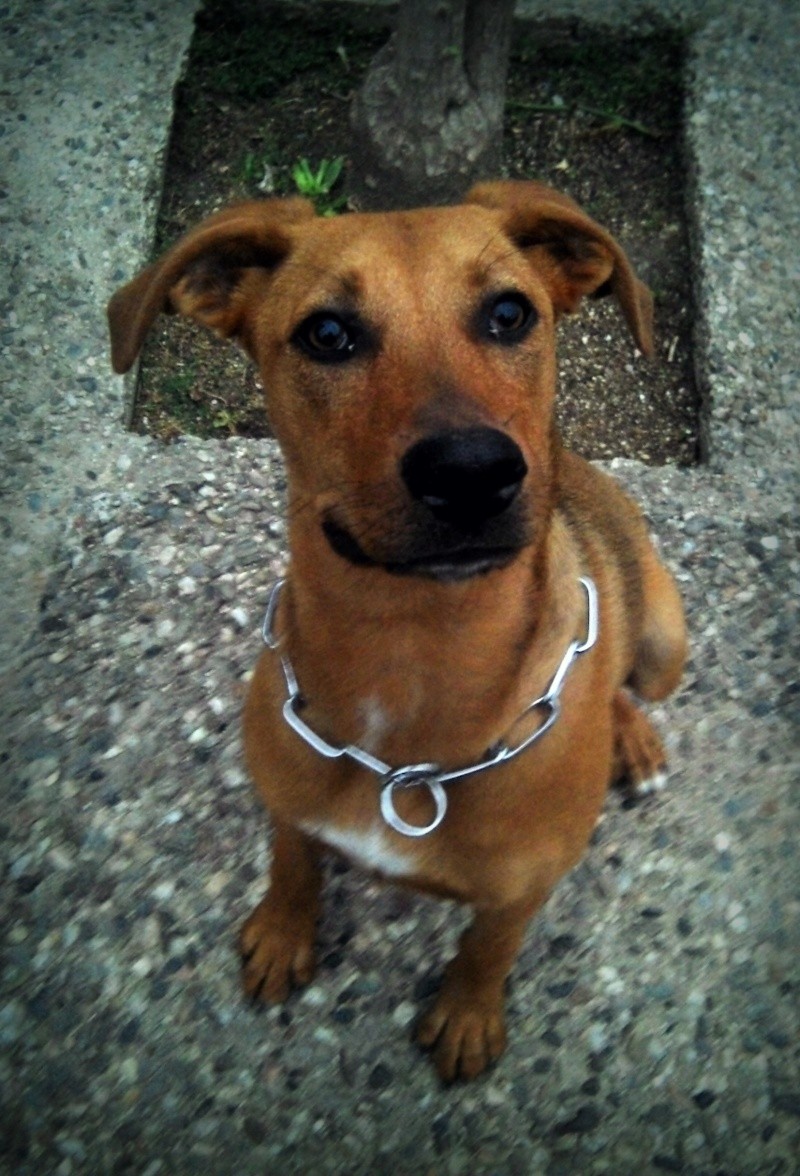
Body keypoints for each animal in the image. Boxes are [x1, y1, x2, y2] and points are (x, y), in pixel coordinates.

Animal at [107, 178, 687, 1077]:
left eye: (510, 314)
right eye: (327, 333)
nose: (472, 471)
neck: (411, 649)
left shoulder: (523, 888)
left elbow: (488, 947)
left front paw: (467, 1016)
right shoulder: (289, 802)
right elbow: (292, 863)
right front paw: (283, 933)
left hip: (664, 641)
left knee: (630, 671)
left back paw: (633, 736)